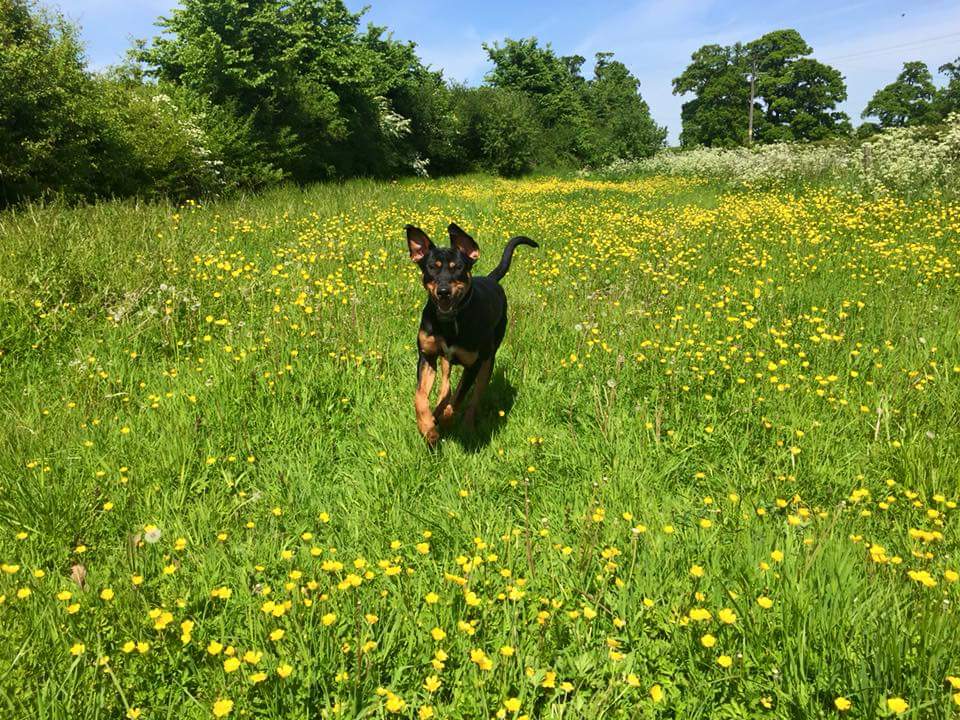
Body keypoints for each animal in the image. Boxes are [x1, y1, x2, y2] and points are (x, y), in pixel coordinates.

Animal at [406, 222, 540, 444]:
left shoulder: (473, 365)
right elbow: (420, 397)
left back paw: (466, 426)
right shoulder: (427, 356)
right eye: (431, 267)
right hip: (446, 360)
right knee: (446, 385)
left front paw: (443, 422)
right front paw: (428, 428)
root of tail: (491, 279)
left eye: (458, 268)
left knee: (473, 400)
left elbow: (458, 401)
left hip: (487, 361)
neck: (450, 322)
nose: (443, 292)